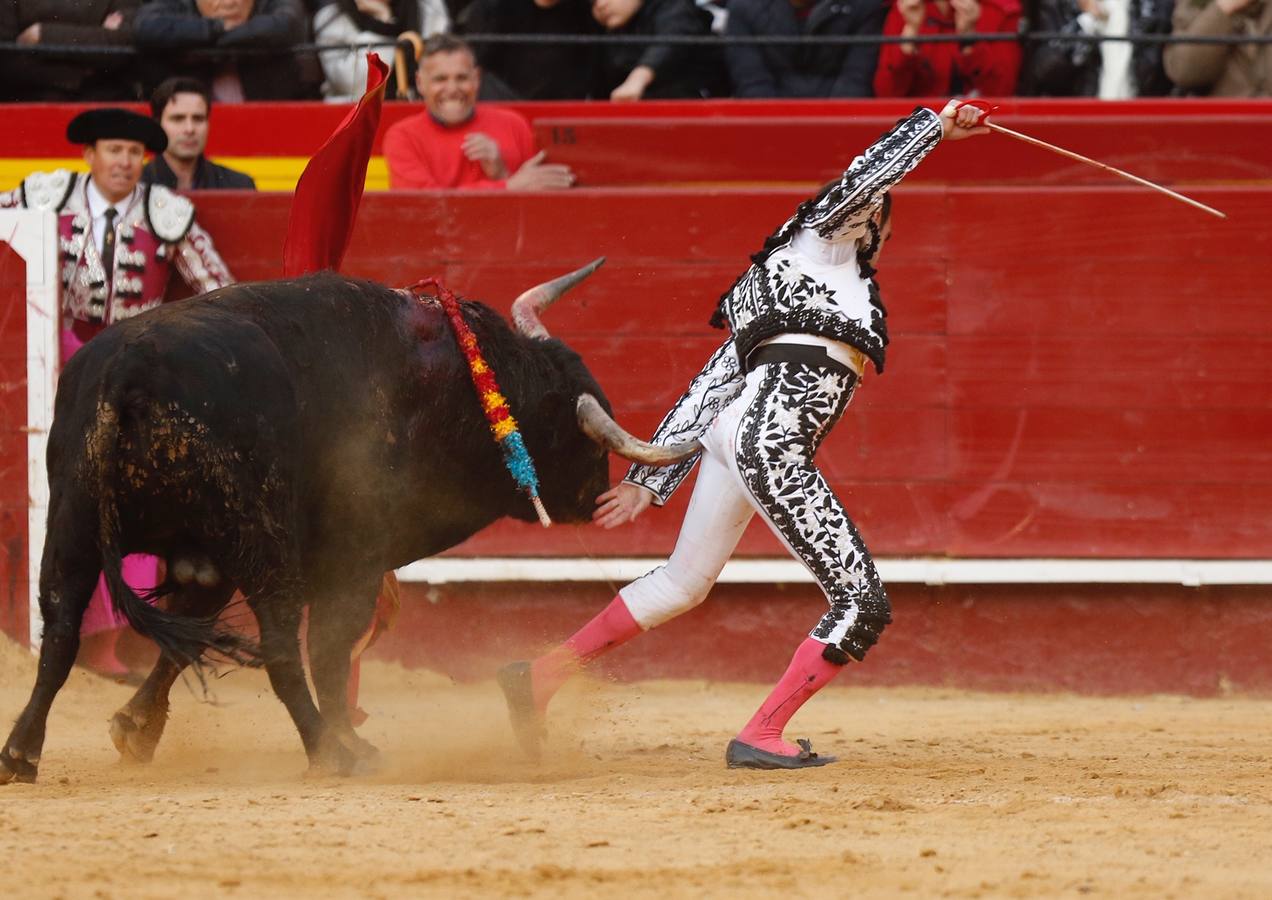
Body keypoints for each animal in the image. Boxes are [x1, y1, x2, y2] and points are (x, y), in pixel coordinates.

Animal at [0, 260, 697, 777]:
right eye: (578, 442)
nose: (597, 496)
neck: (465, 386)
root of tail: (128, 371)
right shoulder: (355, 555)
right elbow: (331, 651)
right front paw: (346, 738)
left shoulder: (210, 560)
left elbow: (185, 637)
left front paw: (133, 731)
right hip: (260, 539)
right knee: (283, 648)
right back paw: (330, 751)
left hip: (71, 524)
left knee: (59, 630)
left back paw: (21, 753)